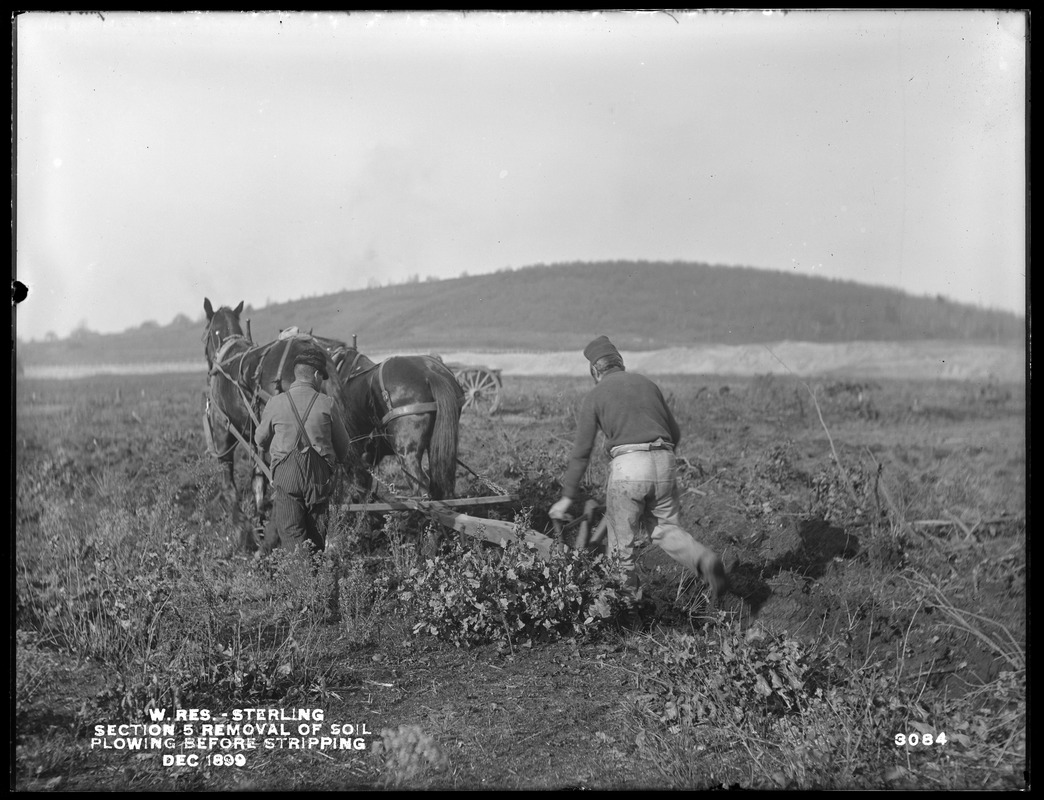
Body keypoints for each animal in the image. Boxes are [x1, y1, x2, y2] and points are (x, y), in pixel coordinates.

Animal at [205, 298, 344, 551]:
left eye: (206, 332)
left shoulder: (223, 433)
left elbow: (229, 487)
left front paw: (245, 534)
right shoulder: (257, 437)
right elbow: (258, 482)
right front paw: (257, 524)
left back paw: (269, 542)